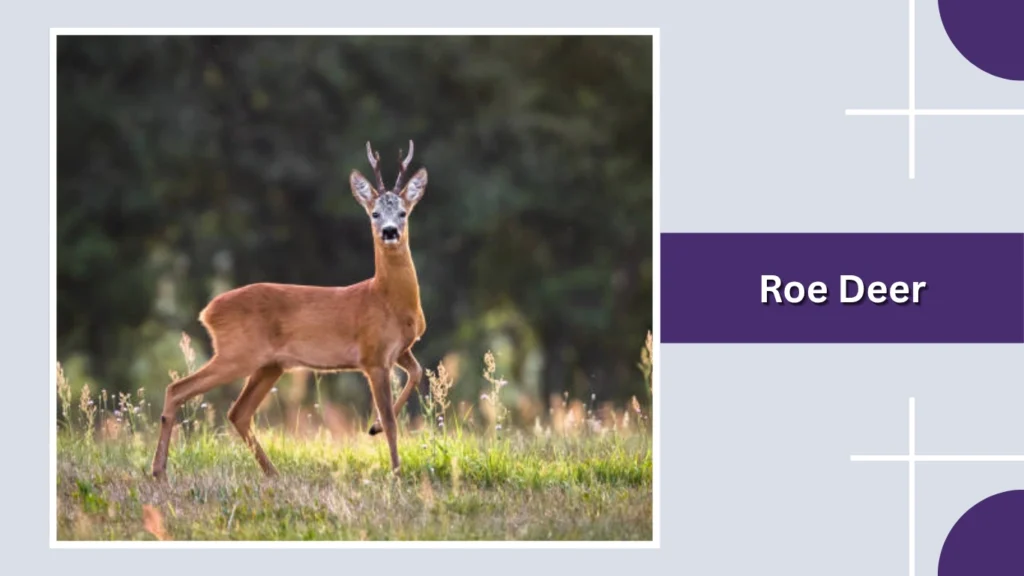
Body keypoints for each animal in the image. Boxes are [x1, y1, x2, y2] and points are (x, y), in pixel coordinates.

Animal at [150, 140, 428, 481]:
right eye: (374, 213)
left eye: (403, 212)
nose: (389, 231)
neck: (388, 299)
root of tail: (207, 312)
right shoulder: (373, 356)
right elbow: (390, 420)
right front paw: (396, 471)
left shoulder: (400, 349)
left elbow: (417, 372)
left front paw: (373, 428)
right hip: (237, 353)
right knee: (178, 388)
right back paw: (159, 471)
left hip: (270, 365)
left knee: (238, 412)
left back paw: (272, 473)